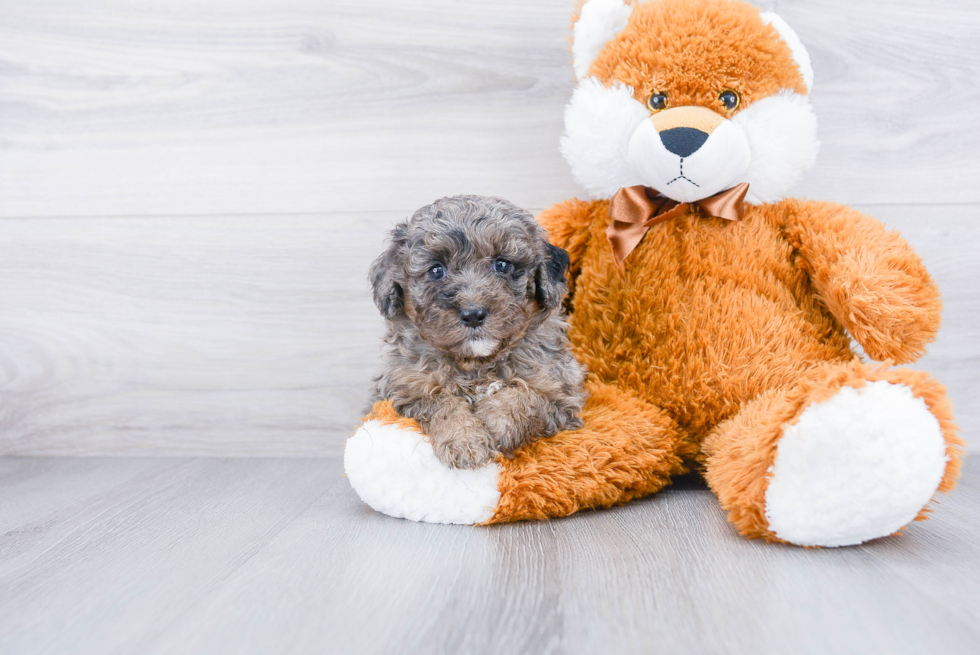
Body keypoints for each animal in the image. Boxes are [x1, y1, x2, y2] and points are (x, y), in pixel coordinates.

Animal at [366, 196, 580, 472]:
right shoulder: (406, 389)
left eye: (502, 265)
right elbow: (441, 402)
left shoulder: (560, 389)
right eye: (436, 270)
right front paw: (466, 443)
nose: (473, 314)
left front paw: (491, 423)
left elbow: (526, 398)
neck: (476, 363)